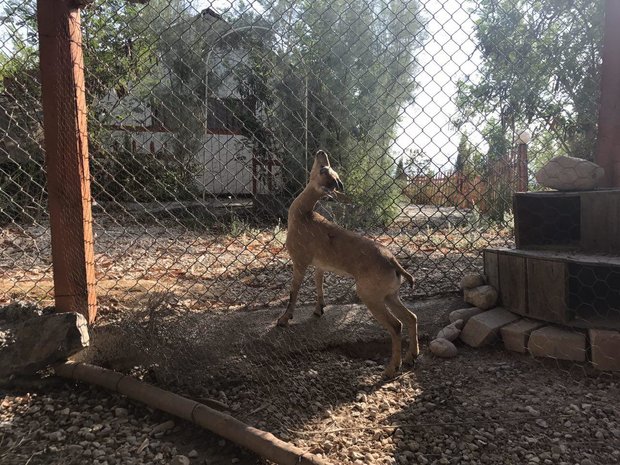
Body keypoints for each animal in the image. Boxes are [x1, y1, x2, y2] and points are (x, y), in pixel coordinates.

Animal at [278, 150, 418, 376]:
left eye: (324, 169)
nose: (321, 152)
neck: (302, 216)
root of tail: (394, 262)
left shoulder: (300, 261)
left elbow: (294, 292)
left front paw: (283, 319)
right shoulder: (319, 265)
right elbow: (319, 286)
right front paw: (318, 310)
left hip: (370, 296)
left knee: (396, 325)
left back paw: (391, 368)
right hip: (390, 295)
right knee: (411, 317)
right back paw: (411, 357)